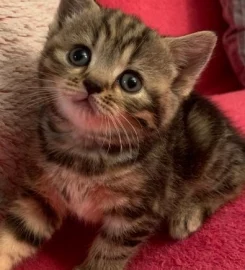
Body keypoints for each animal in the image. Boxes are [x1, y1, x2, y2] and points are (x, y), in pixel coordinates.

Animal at [0, 0, 245, 270]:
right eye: (79, 55)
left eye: (131, 82)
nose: (93, 84)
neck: (85, 150)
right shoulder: (41, 196)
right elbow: (17, 233)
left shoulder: (138, 212)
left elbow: (111, 252)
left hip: (208, 149)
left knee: (235, 178)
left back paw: (188, 211)